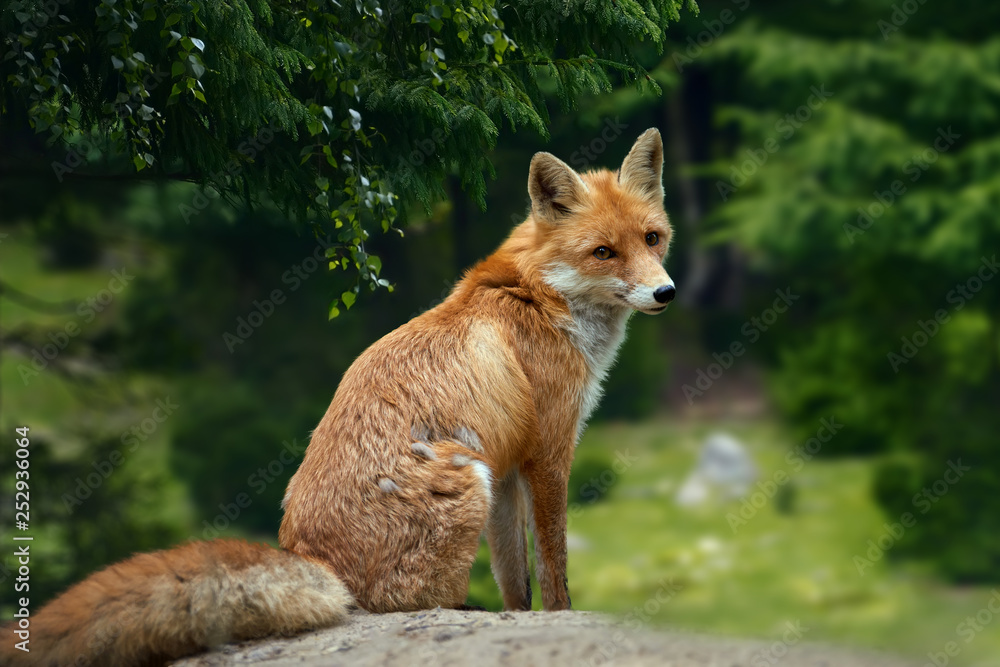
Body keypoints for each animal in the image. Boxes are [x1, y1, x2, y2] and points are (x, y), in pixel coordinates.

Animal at [1, 128, 672, 664]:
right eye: (603, 252)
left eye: (653, 238)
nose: (666, 293)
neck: (540, 295)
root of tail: (313, 557)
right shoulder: (547, 456)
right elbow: (555, 574)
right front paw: (560, 619)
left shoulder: (510, 469)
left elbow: (516, 584)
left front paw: (521, 619)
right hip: (467, 479)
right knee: (408, 605)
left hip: (483, 478)